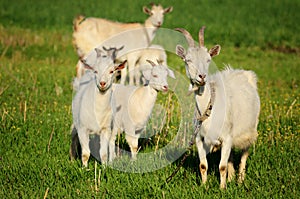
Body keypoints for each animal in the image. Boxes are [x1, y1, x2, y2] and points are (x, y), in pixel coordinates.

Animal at [176, 27, 260, 189]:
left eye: (208, 59)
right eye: (188, 60)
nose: (202, 77)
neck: (209, 108)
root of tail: (239, 71)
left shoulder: (227, 137)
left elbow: (222, 166)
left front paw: (222, 189)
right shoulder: (199, 138)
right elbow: (203, 165)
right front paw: (204, 186)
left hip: (251, 127)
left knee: (244, 153)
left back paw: (240, 179)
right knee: (231, 157)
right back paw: (231, 178)